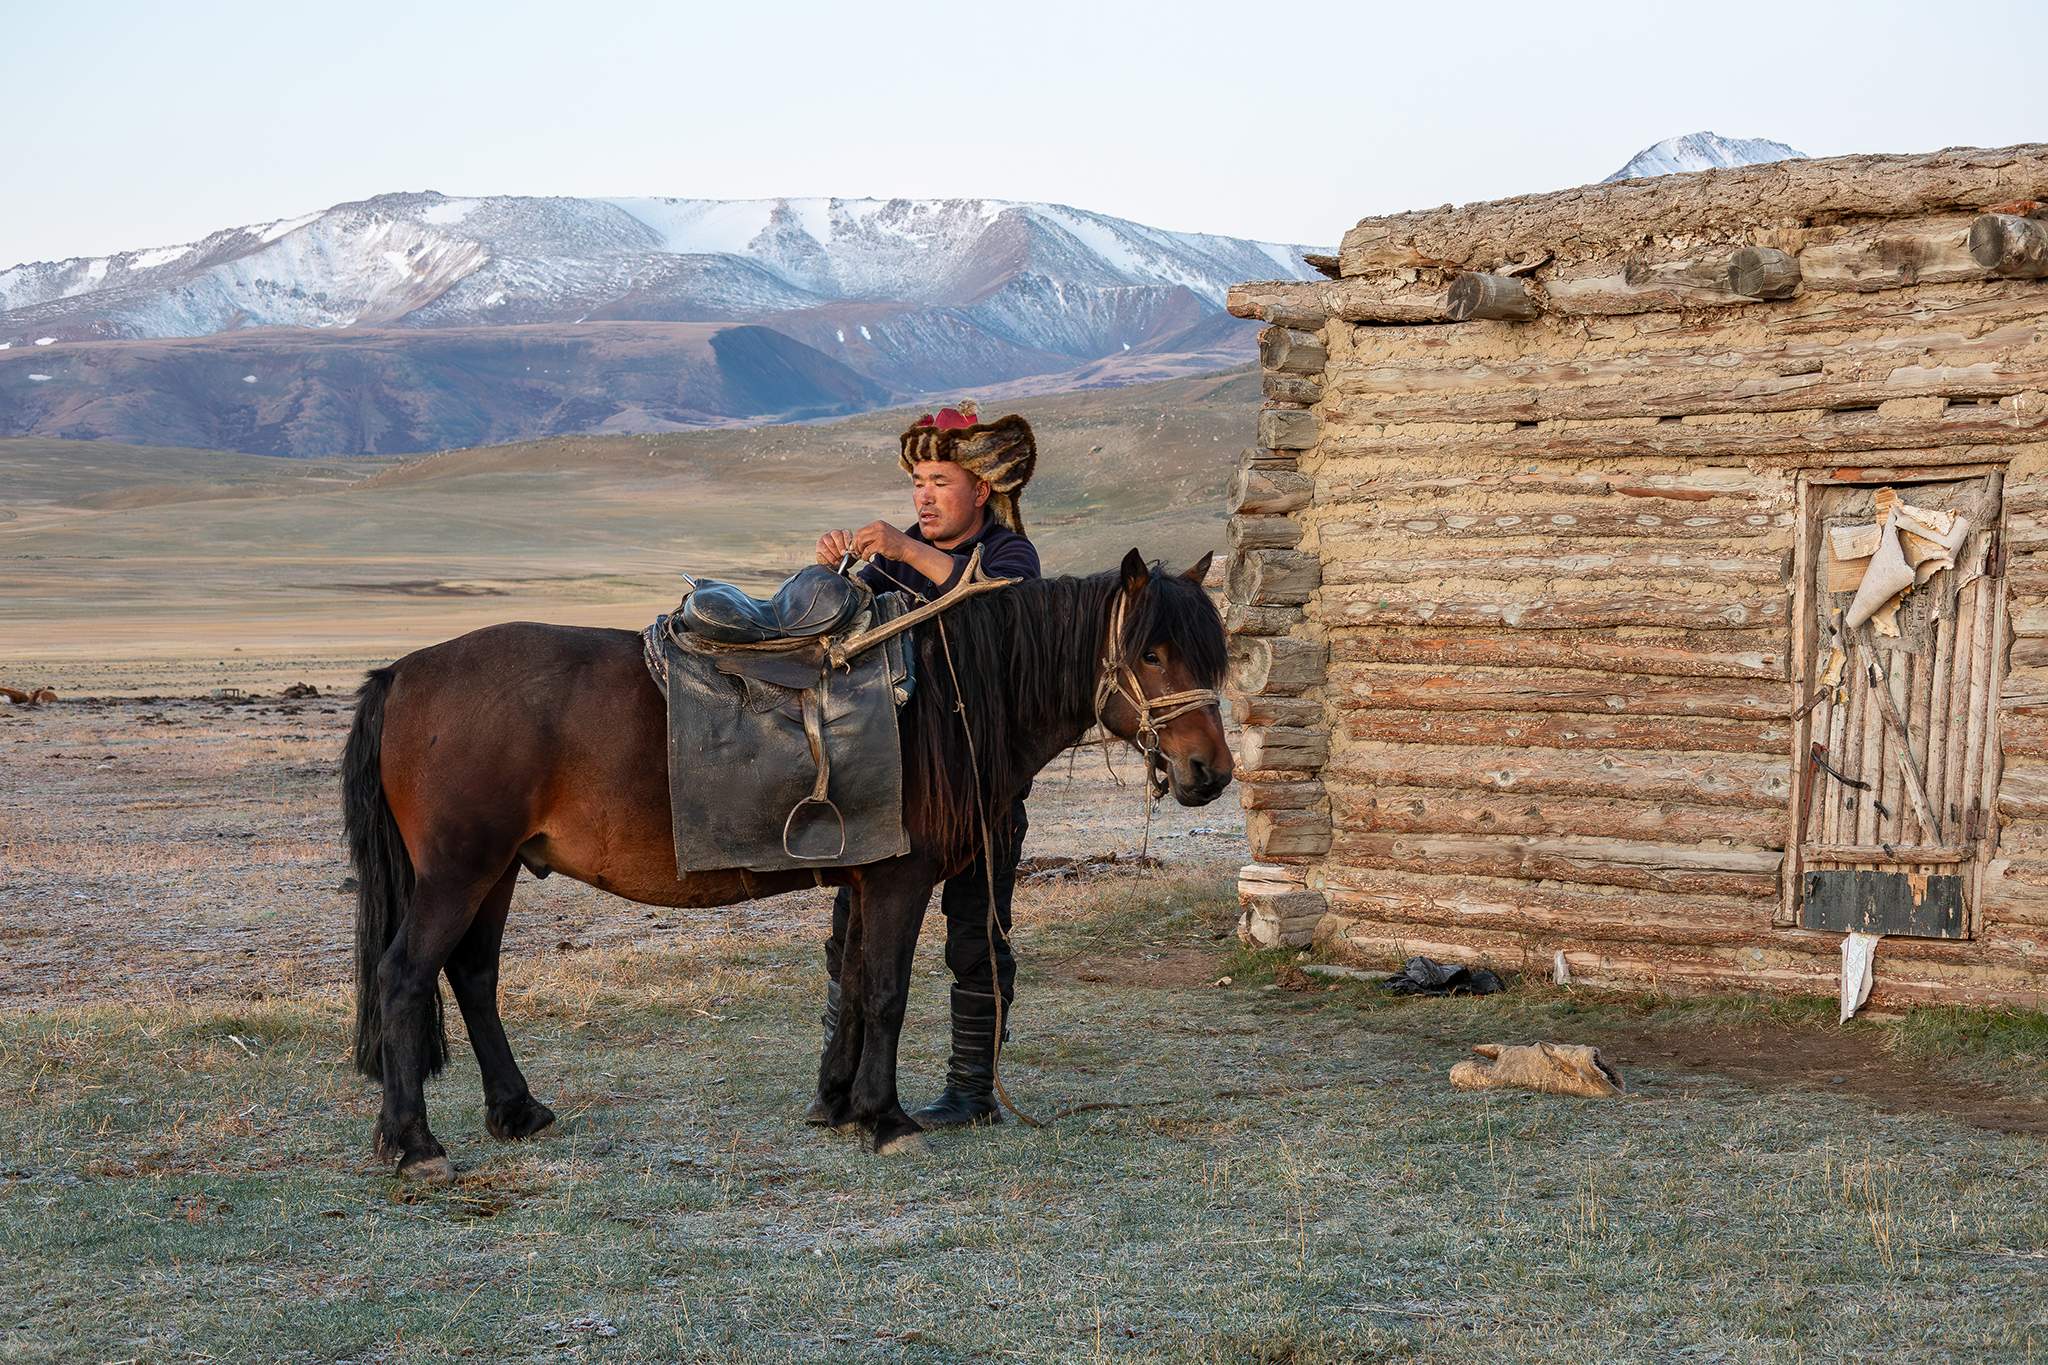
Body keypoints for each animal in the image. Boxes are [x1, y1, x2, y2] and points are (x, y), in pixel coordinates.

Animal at [342, 548, 1228, 1178]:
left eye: (1206, 653)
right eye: (1152, 652)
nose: (1209, 771)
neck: (947, 698)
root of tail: (404, 673)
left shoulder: (868, 876)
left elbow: (857, 985)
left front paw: (842, 1105)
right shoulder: (901, 877)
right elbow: (887, 990)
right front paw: (886, 1119)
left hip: (495, 872)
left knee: (473, 976)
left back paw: (515, 1111)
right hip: (459, 873)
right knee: (405, 975)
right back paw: (415, 1143)